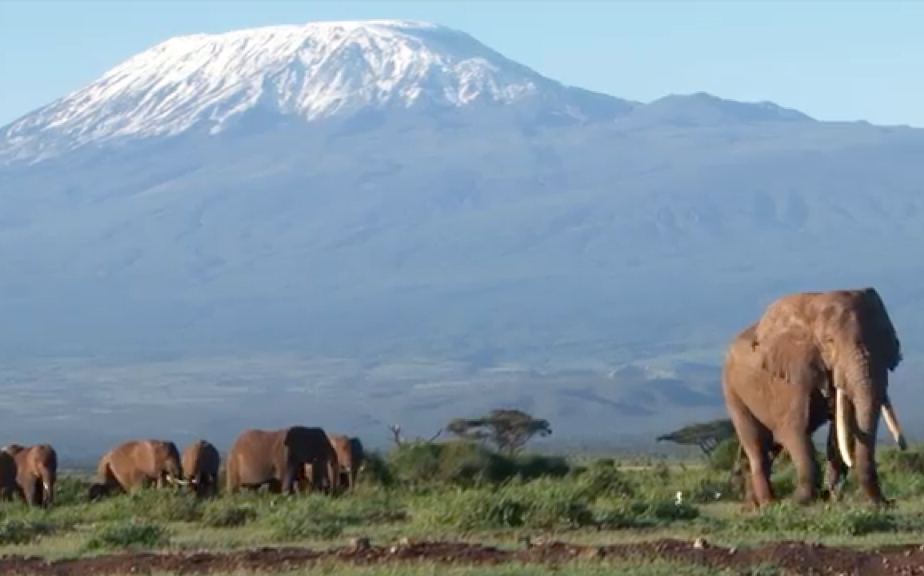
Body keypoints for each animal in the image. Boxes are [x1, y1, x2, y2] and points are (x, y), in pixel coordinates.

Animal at [748, 288, 904, 504]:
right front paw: (803, 500)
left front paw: (832, 495)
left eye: (882, 337)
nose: (887, 502)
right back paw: (768, 503)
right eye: (829, 342)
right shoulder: (792, 376)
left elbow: (844, 426)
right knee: (756, 447)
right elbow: (796, 429)